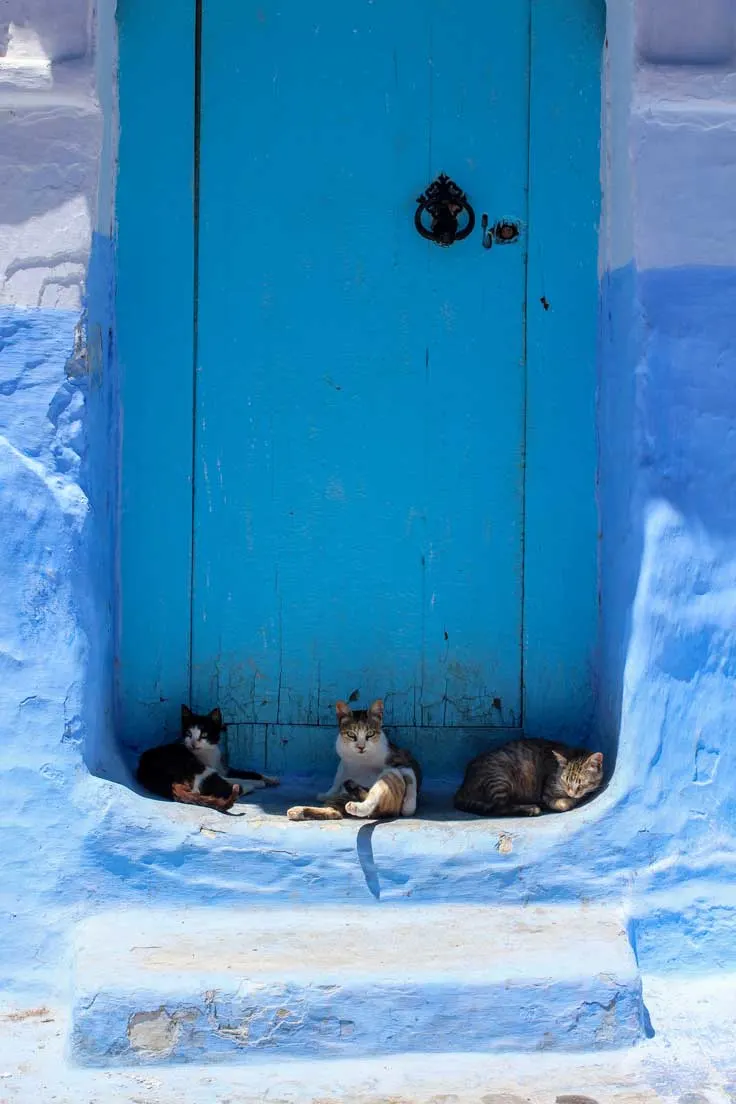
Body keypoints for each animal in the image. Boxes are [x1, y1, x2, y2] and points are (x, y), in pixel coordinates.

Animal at [136, 706, 280, 812]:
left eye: (204, 734)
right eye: (188, 733)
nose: (193, 744)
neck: (209, 752)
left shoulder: (224, 768)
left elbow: (250, 773)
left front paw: (271, 779)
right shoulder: (213, 770)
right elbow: (235, 779)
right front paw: (259, 782)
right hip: (194, 767)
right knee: (221, 788)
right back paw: (249, 787)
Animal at [289, 697, 423, 821]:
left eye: (370, 734)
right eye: (351, 734)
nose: (361, 747)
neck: (362, 759)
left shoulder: (402, 759)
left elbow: (411, 779)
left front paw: (409, 806)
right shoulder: (344, 763)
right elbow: (337, 778)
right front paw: (328, 793)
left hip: (390, 775)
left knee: (372, 799)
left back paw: (356, 807)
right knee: (334, 811)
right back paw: (298, 811)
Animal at [454, 737, 604, 816]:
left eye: (581, 783)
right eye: (565, 781)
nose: (571, 793)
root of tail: (462, 786)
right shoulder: (547, 792)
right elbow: (562, 804)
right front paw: (571, 801)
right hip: (500, 777)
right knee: (500, 808)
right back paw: (531, 808)